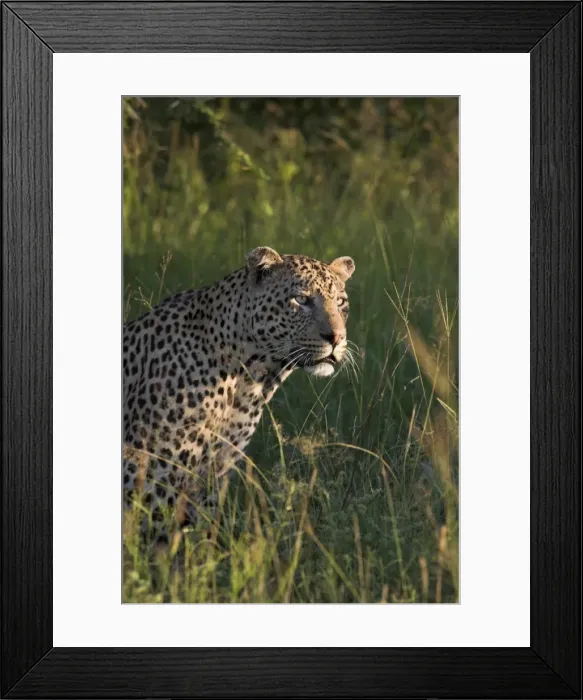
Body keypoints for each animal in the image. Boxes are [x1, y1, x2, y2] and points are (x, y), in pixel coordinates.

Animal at [123, 246, 355, 537]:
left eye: (341, 302)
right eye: (301, 300)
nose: (336, 338)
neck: (251, 379)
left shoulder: (214, 474)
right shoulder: (153, 476)